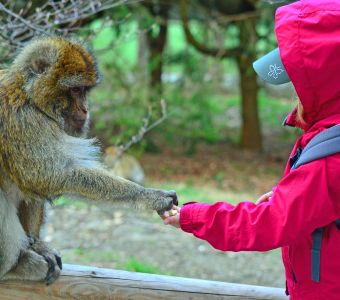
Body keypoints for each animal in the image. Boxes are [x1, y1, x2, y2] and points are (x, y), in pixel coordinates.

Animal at [0, 36, 177, 284]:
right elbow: (48, 175)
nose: (85, 109)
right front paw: (148, 195)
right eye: (75, 89)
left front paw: (37, 244)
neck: (29, 97)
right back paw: (14, 267)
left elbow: (35, 184)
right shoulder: (22, 121)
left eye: (85, 90)